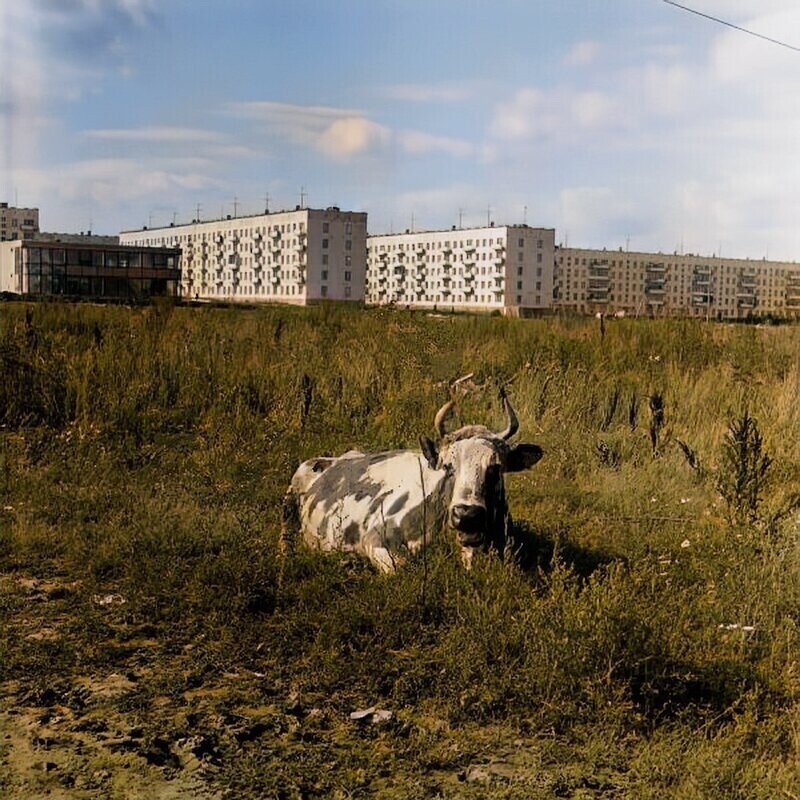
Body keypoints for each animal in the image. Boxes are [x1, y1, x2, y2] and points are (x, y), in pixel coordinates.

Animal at [280, 384, 544, 572]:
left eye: (496, 468)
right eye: (448, 467)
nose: (466, 515)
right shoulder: (375, 538)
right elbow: (401, 566)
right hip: (289, 505)